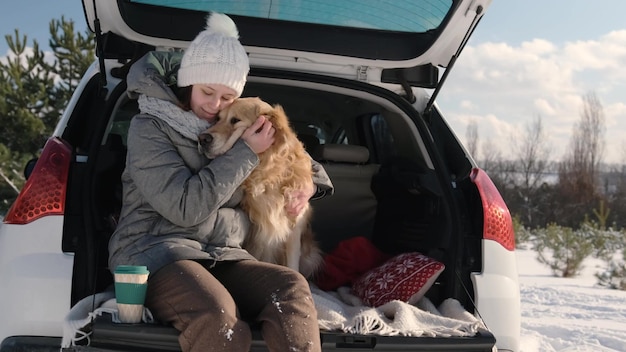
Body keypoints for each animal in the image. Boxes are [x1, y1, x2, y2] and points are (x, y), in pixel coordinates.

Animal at [196, 96, 322, 278]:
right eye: (218, 118)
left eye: (235, 120)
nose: (201, 139)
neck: (267, 173)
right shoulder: (256, 233)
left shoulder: (294, 228)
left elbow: (292, 265)